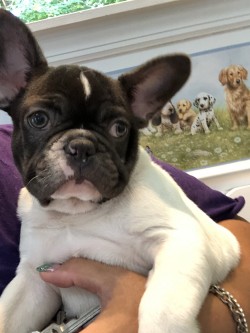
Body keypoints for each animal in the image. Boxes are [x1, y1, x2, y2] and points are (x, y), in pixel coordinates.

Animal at [0, 8, 239, 332]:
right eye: (39, 119)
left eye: (119, 128)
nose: (81, 145)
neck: (78, 214)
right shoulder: (34, 279)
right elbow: (8, 311)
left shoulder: (182, 240)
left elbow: (162, 309)